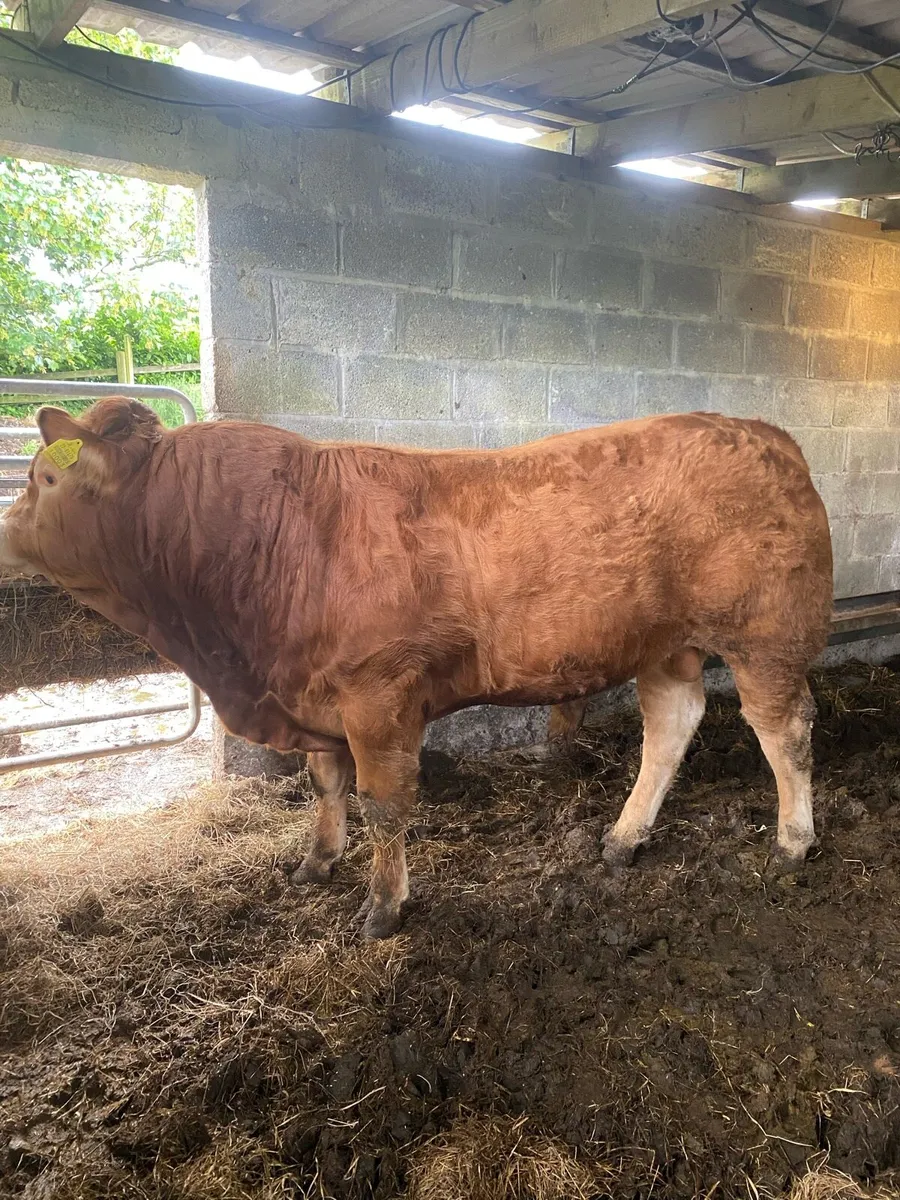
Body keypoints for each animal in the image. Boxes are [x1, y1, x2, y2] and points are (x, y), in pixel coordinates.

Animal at [0, 400, 833, 938]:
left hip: (766, 633)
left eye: (43, 479)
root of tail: (766, 434)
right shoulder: (320, 698)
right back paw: (623, 839)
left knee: (784, 729)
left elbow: (384, 805)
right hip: (664, 643)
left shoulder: (379, 695)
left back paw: (793, 841)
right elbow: (326, 786)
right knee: (671, 725)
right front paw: (316, 864)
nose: (4, 534)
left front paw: (381, 908)